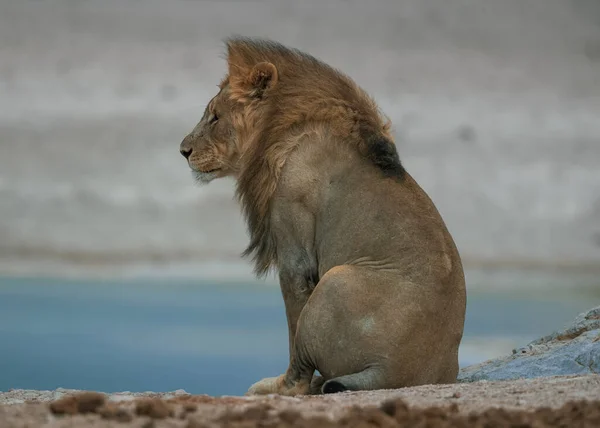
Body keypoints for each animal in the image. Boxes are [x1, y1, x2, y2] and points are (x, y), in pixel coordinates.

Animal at [179, 37, 468, 398]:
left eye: (215, 117)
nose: (183, 150)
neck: (282, 133)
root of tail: (395, 370)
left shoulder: (295, 256)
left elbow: (292, 328)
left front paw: (283, 385)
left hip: (336, 279)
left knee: (303, 366)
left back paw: (276, 386)